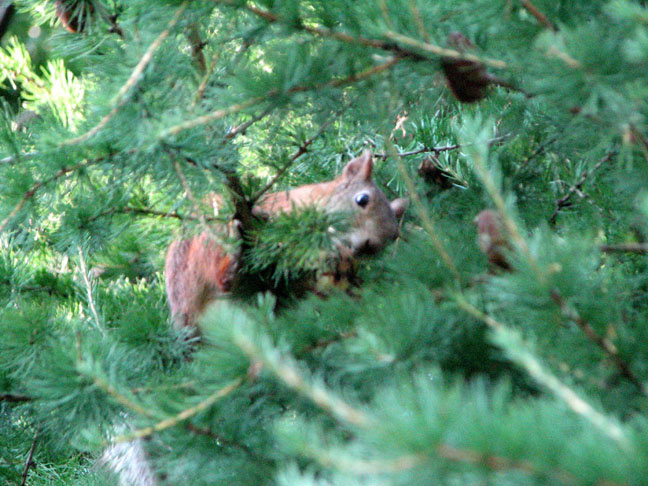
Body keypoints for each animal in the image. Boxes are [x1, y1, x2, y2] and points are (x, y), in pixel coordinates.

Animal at [164, 149, 408, 330]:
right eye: (362, 199)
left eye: (392, 236)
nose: (370, 246)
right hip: (207, 239)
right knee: (222, 276)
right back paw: (235, 257)